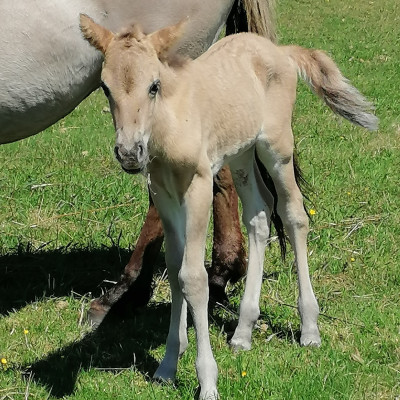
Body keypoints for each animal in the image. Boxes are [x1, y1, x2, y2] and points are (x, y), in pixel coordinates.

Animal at [80, 14, 378, 398]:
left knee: (294, 214)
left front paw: (207, 380)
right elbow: (175, 268)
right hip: (241, 154)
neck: (171, 122)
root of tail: (281, 51)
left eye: (153, 86)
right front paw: (167, 365)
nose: (130, 153)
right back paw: (243, 332)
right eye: (105, 87)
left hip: (276, 147)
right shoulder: (163, 194)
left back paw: (309, 328)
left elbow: (193, 277)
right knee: (259, 216)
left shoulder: (198, 187)